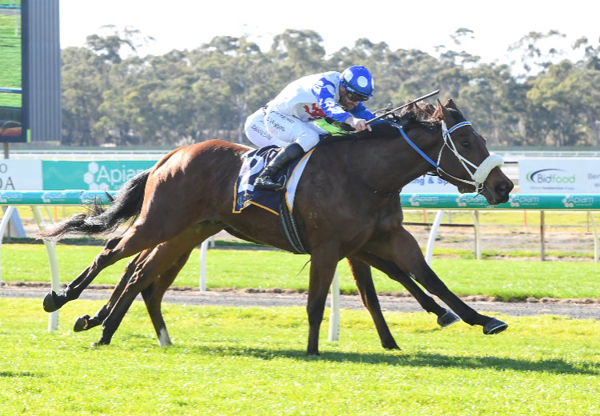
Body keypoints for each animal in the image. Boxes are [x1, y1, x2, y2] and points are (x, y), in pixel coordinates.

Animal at [39, 100, 512, 354]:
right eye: (466, 141)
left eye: (482, 139)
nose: (504, 185)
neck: (366, 175)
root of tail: (171, 155)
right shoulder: (330, 246)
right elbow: (319, 302)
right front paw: (314, 351)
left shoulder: (383, 238)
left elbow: (422, 278)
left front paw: (481, 319)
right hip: (161, 221)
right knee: (113, 253)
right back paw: (62, 300)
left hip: (188, 230)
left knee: (139, 272)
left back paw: (107, 329)